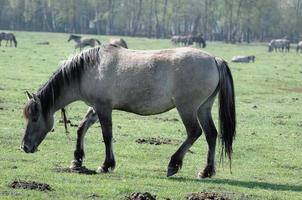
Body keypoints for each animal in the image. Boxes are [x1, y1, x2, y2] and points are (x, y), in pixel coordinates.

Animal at [20, 46, 236, 179]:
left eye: (35, 118)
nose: (25, 146)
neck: (91, 67)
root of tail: (214, 59)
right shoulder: (95, 107)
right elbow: (81, 128)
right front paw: (77, 160)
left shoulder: (104, 108)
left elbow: (107, 135)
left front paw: (106, 165)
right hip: (203, 108)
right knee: (211, 135)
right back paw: (206, 171)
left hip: (187, 108)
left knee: (194, 132)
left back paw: (173, 164)